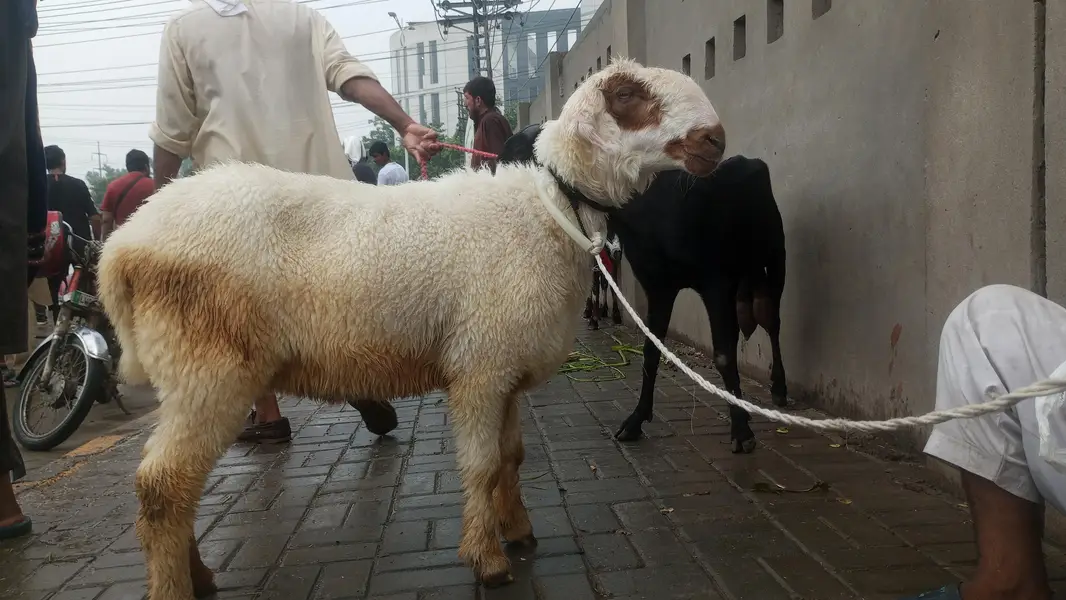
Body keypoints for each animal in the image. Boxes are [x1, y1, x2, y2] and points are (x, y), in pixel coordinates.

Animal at [96, 58, 727, 598]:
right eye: (629, 97)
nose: (715, 140)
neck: (545, 211)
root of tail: (122, 246)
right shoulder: (479, 366)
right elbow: (481, 465)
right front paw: (487, 559)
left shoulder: (503, 367)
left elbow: (512, 456)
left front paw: (518, 529)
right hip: (206, 365)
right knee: (163, 486)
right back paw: (176, 586)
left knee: (176, 486)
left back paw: (199, 575)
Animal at [500, 128, 786, 454]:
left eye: (524, 149)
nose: (494, 165)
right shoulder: (659, 287)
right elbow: (651, 349)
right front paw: (636, 420)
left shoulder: (716, 283)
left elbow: (724, 355)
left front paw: (741, 430)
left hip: (775, 257)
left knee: (773, 323)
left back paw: (779, 388)